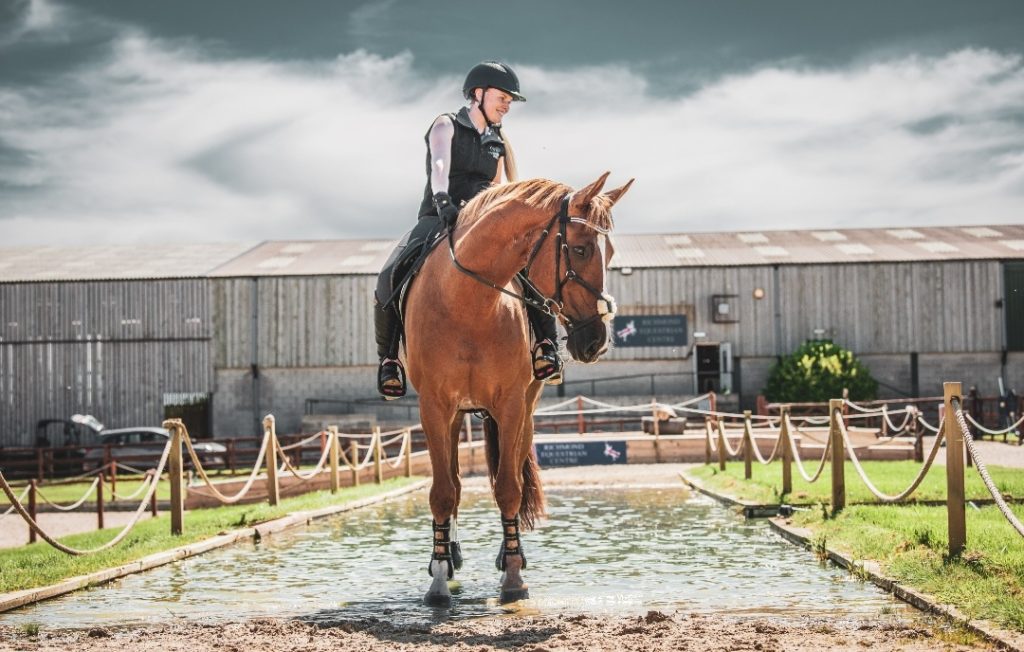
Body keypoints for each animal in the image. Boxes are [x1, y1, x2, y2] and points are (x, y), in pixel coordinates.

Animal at [401, 169, 630, 601]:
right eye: (579, 250)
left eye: (608, 254)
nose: (596, 341)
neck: (469, 303)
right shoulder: (435, 407)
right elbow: (443, 491)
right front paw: (438, 576)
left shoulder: (510, 404)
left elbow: (509, 487)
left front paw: (512, 574)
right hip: (452, 417)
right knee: (455, 483)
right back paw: (450, 555)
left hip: (525, 409)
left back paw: (511, 554)